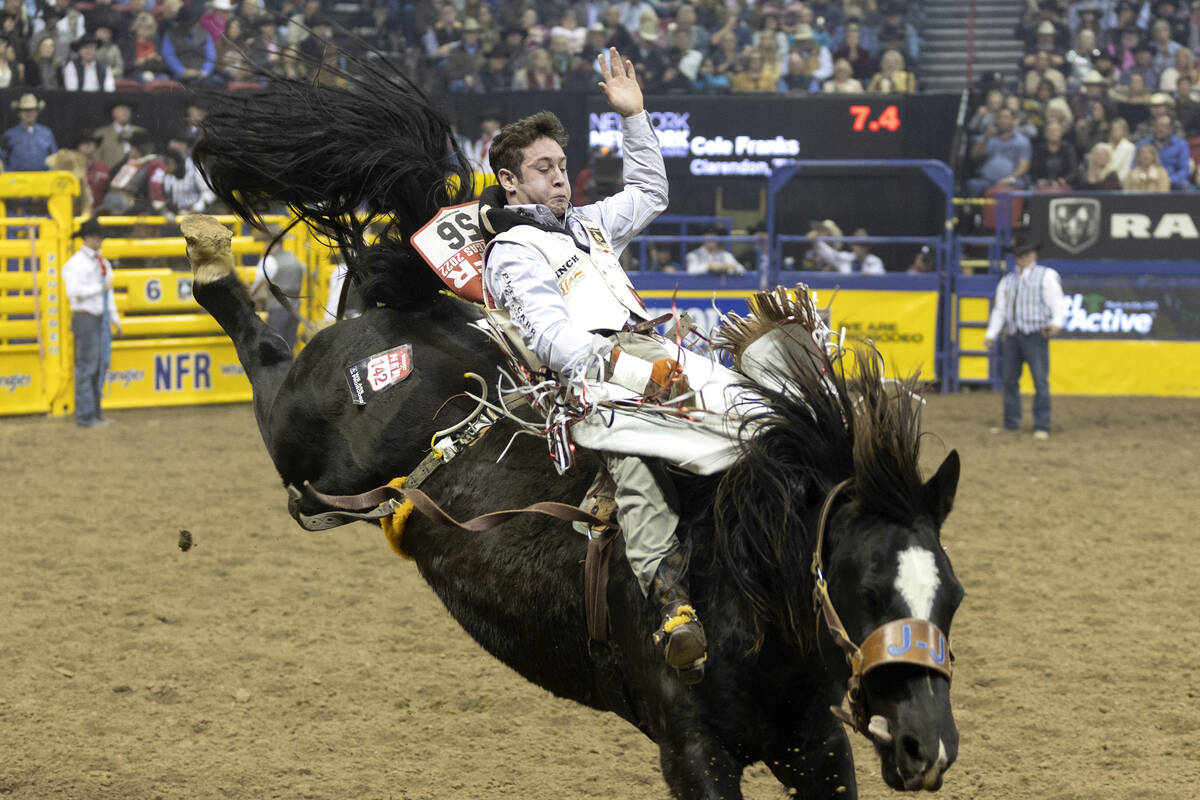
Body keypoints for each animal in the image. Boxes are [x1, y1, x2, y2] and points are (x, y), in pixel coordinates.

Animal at [184, 53, 964, 796]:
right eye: (866, 590)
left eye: (952, 597)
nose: (927, 747)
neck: (743, 575)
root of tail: (423, 310)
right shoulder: (693, 751)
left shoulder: (817, 745)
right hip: (307, 439)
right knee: (263, 361)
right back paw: (209, 254)